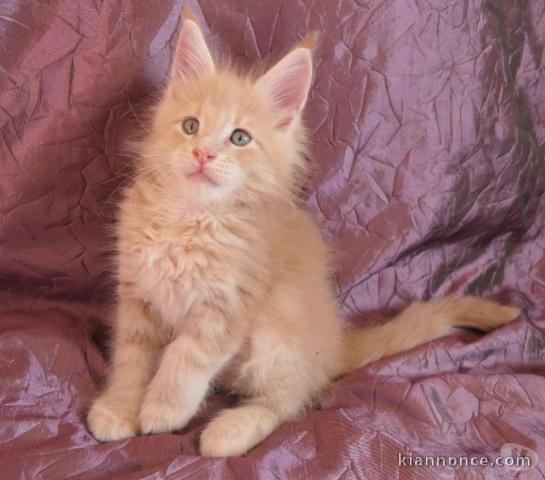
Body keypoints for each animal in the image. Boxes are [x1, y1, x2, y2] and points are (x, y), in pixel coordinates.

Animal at [88, 9, 520, 456]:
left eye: (239, 138)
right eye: (190, 126)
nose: (202, 153)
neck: (190, 217)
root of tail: (333, 345)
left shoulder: (227, 307)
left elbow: (184, 357)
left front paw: (163, 409)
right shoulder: (137, 297)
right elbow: (131, 359)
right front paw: (119, 408)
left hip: (279, 338)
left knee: (289, 400)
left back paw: (232, 429)